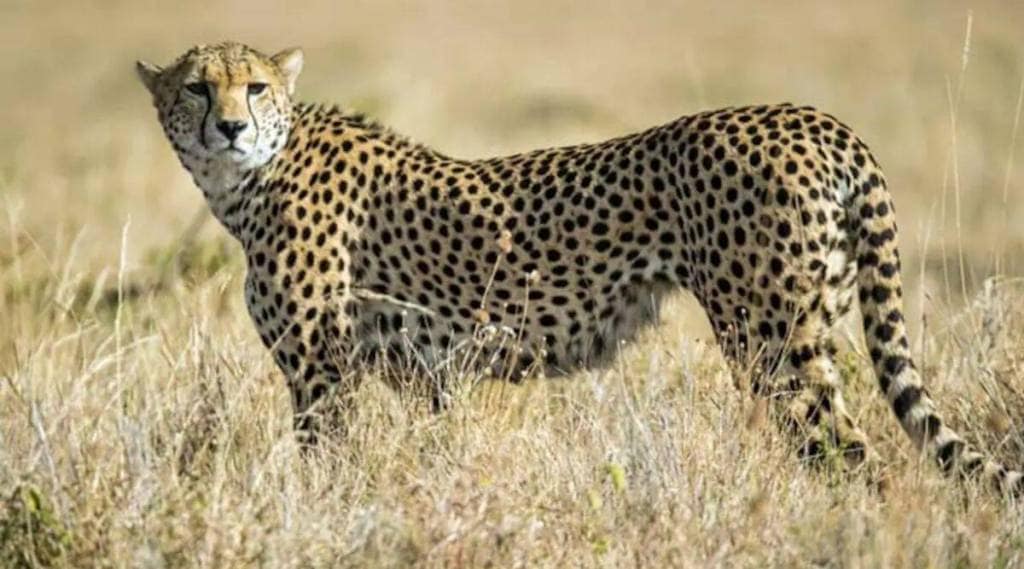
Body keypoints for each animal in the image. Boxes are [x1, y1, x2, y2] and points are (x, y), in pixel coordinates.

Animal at [136, 41, 1021, 494]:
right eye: (196, 87)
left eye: (254, 86)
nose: (229, 126)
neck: (251, 178)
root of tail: (814, 117)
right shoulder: (423, 375)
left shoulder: (322, 374)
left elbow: (326, 466)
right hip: (815, 317)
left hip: (773, 343)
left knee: (855, 456)